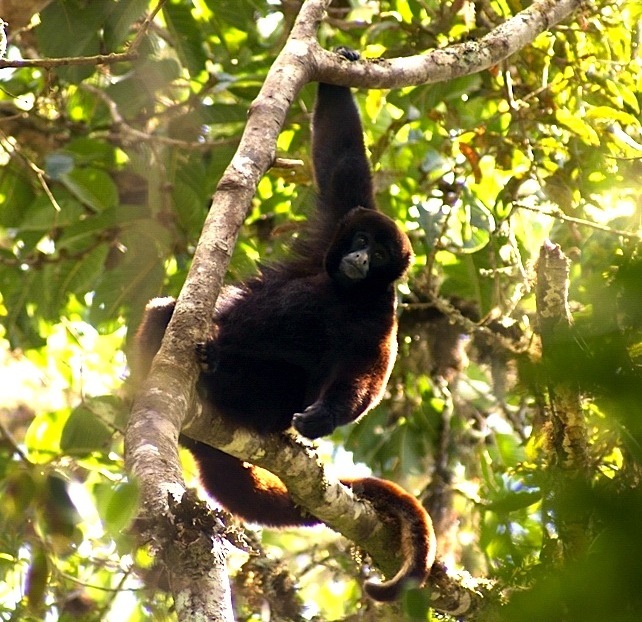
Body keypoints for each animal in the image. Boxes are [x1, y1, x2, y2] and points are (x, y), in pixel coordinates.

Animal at [134, 46, 436, 604]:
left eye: (381, 255)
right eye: (361, 239)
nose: (361, 257)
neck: (347, 290)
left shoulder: (381, 310)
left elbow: (369, 371)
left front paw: (325, 417)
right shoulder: (332, 232)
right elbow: (342, 164)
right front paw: (340, 68)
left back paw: (221, 374)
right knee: (164, 312)